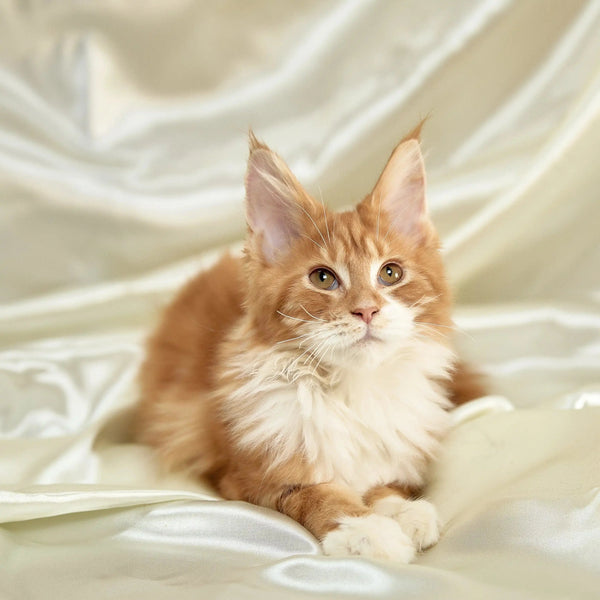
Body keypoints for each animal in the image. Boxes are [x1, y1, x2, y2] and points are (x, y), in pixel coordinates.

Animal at [136, 130, 482, 564]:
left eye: (390, 273)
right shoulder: (250, 476)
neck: (352, 391)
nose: (367, 310)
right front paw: (367, 530)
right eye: (323, 278)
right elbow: (322, 496)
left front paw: (402, 511)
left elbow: (382, 485)